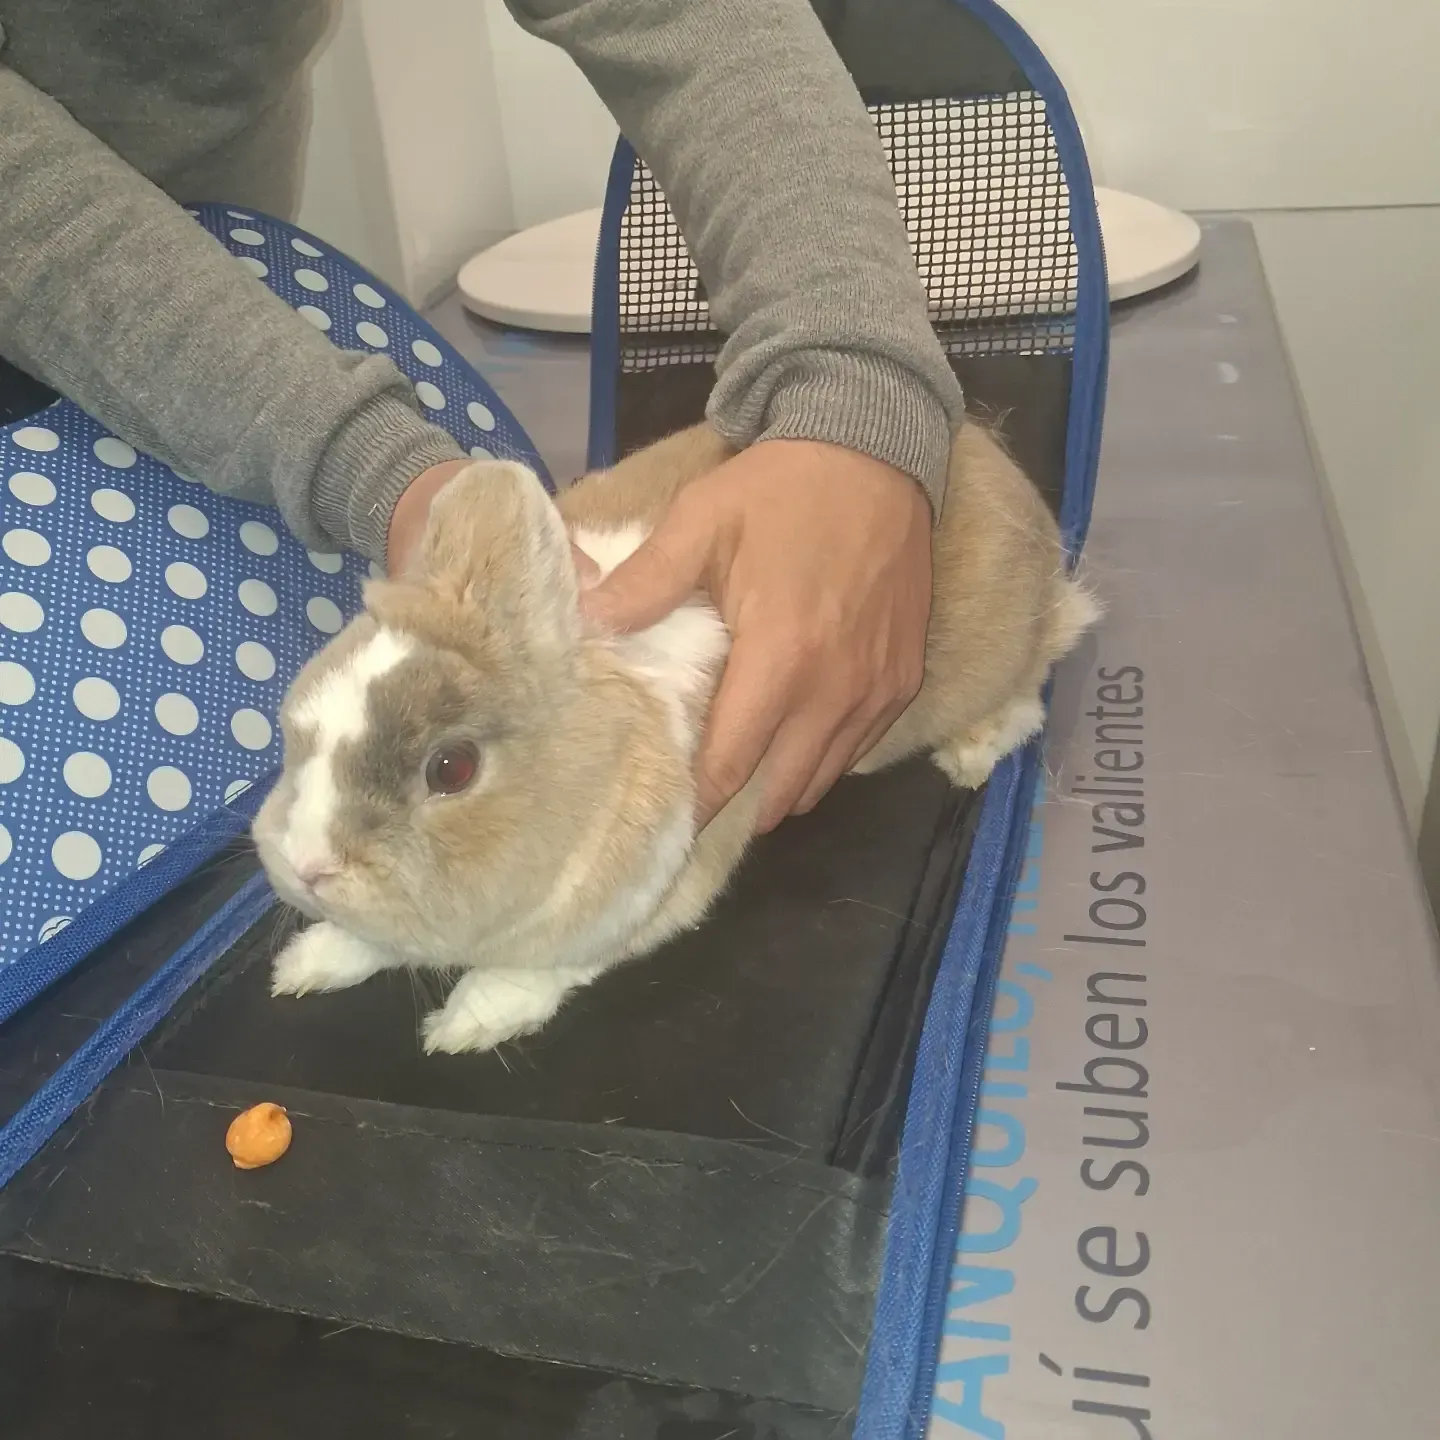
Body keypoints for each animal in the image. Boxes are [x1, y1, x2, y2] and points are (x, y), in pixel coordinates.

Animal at [252, 419, 1097, 1054]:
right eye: (301, 727)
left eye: (451, 768)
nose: (309, 865)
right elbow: (374, 939)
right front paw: (305, 963)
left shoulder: (649, 895)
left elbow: (547, 968)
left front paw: (467, 1023)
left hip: (997, 664)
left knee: (1031, 693)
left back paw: (970, 752)